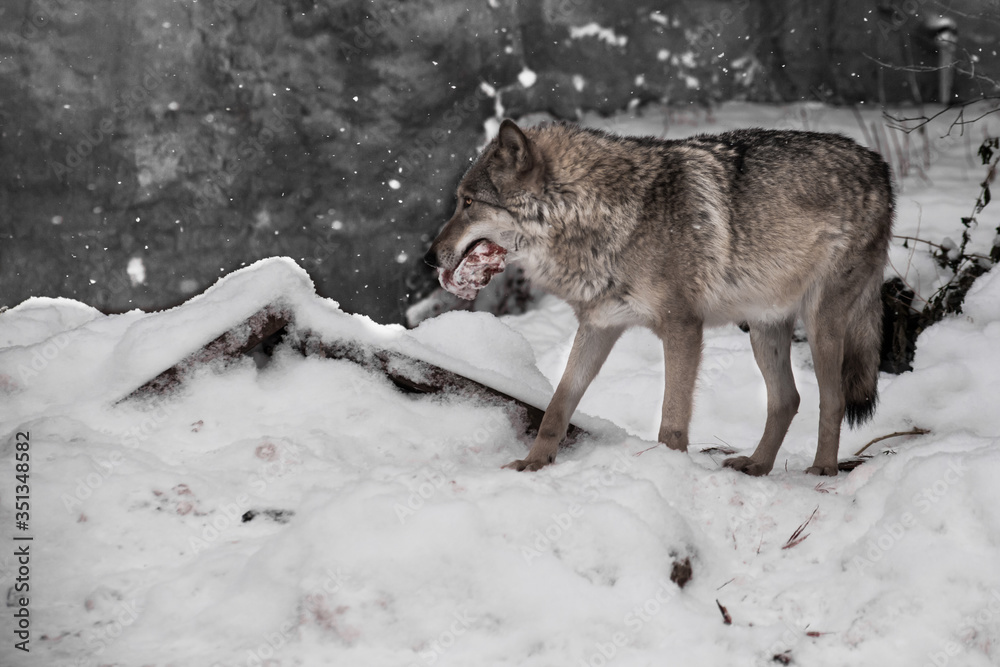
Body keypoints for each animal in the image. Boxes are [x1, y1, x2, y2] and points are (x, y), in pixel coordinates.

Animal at [424, 120, 894, 476]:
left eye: (468, 202)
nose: (429, 257)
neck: (596, 218)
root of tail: (879, 165)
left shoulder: (683, 327)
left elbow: (672, 421)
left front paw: (668, 474)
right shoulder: (598, 326)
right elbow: (558, 405)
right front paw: (533, 463)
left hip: (820, 323)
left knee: (831, 399)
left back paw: (822, 470)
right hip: (765, 329)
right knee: (787, 400)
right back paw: (757, 466)